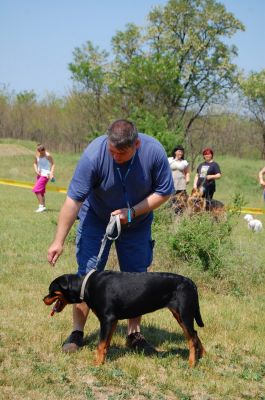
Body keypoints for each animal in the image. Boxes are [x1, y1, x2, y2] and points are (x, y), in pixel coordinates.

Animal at [42, 270, 204, 368]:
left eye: (51, 291)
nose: (43, 299)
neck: (85, 286)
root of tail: (191, 283)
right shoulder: (113, 320)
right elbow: (106, 343)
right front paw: (103, 360)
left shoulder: (106, 319)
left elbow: (100, 344)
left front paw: (97, 363)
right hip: (180, 316)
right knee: (195, 335)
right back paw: (201, 355)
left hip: (184, 314)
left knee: (191, 339)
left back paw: (191, 363)